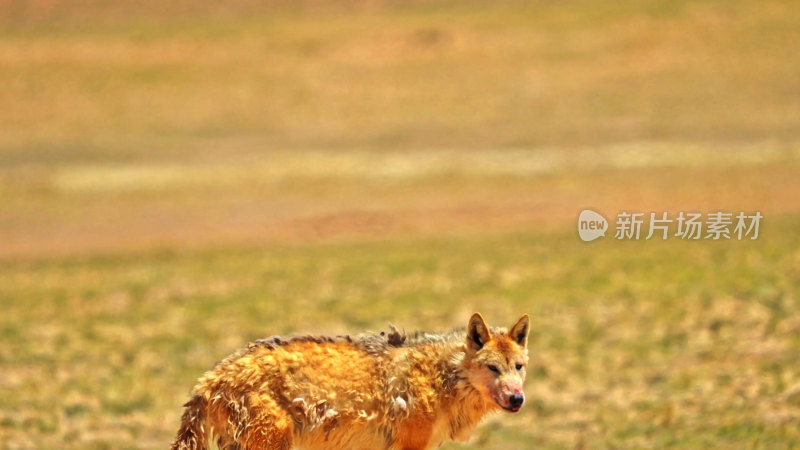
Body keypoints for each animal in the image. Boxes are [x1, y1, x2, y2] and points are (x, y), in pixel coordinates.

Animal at [172, 312, 528, 450]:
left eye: (519, 367)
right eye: (493, 368)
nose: (517, 399)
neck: (443, 378)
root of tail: (209, 378)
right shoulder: (409, 446)